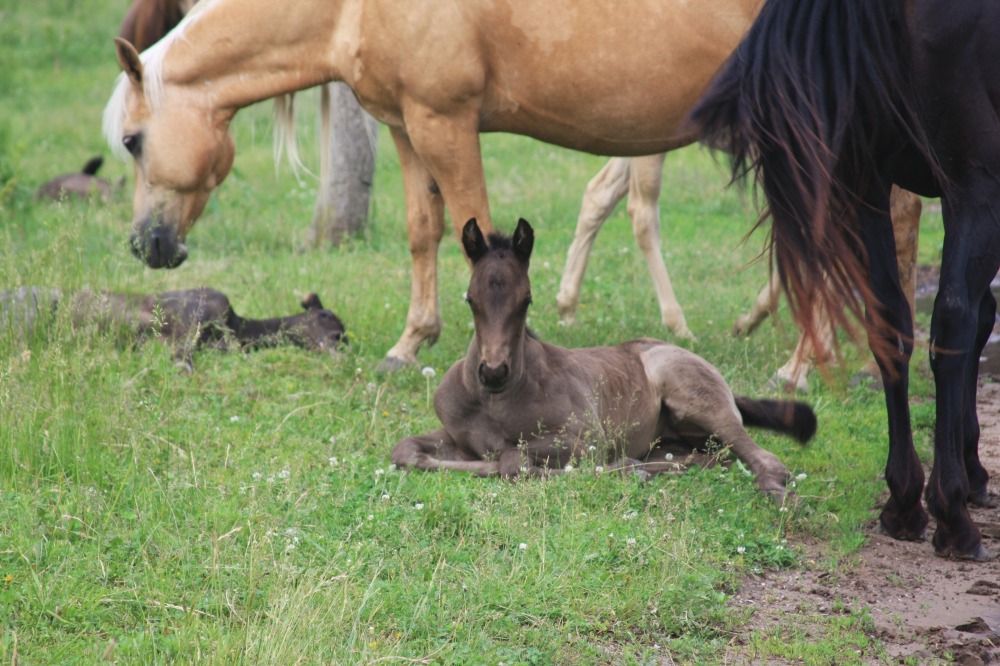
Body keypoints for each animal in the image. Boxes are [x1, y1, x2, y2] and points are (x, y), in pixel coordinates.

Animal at [105, 0, 764, 368]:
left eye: (132, 140)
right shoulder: (407, 124)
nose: (144, 244)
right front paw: (411, 343)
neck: (350, 5)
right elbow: (425, 230)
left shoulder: (446, 123)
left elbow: (482, 230)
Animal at [388, 218, 812, 498]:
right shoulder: (454, 434)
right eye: (470, 299)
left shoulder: (586, 437)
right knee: (705, 458)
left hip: (693, 395)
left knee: (763, 458)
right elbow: (404, 450)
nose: (493, 372)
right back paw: (642, 468)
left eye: (526, 301)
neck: (495, 401)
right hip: (680, 441)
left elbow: (512, 459)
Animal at [692, 0, 1000, 560]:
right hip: (975, 181)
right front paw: (971, 474)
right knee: (951, 318)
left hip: (867, 184)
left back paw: (904, 501)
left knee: (892, 317)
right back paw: (952, 517)